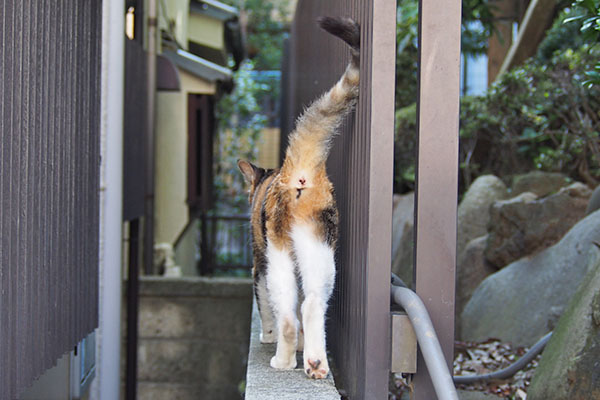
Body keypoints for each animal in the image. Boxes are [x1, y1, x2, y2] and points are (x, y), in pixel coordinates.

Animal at [239, 14, 360, 378]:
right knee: (311, 304)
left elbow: (263, 304)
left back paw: (283, 359)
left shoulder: (258, 261)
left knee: (289, 314)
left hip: (277, 253)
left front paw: (266, 335)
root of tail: (299, 169)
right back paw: (315, 362)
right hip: (318, 248)